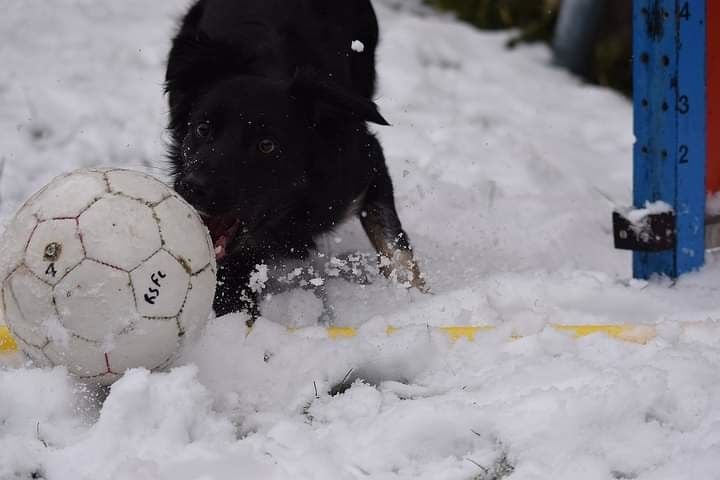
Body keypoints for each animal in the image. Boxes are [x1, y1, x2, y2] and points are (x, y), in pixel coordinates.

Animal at [165, 0, 422, 318]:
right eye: (203, 128)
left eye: (266, 145)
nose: (192, 187)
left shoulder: (364, 165)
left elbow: (395, 247)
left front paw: (419, 301)